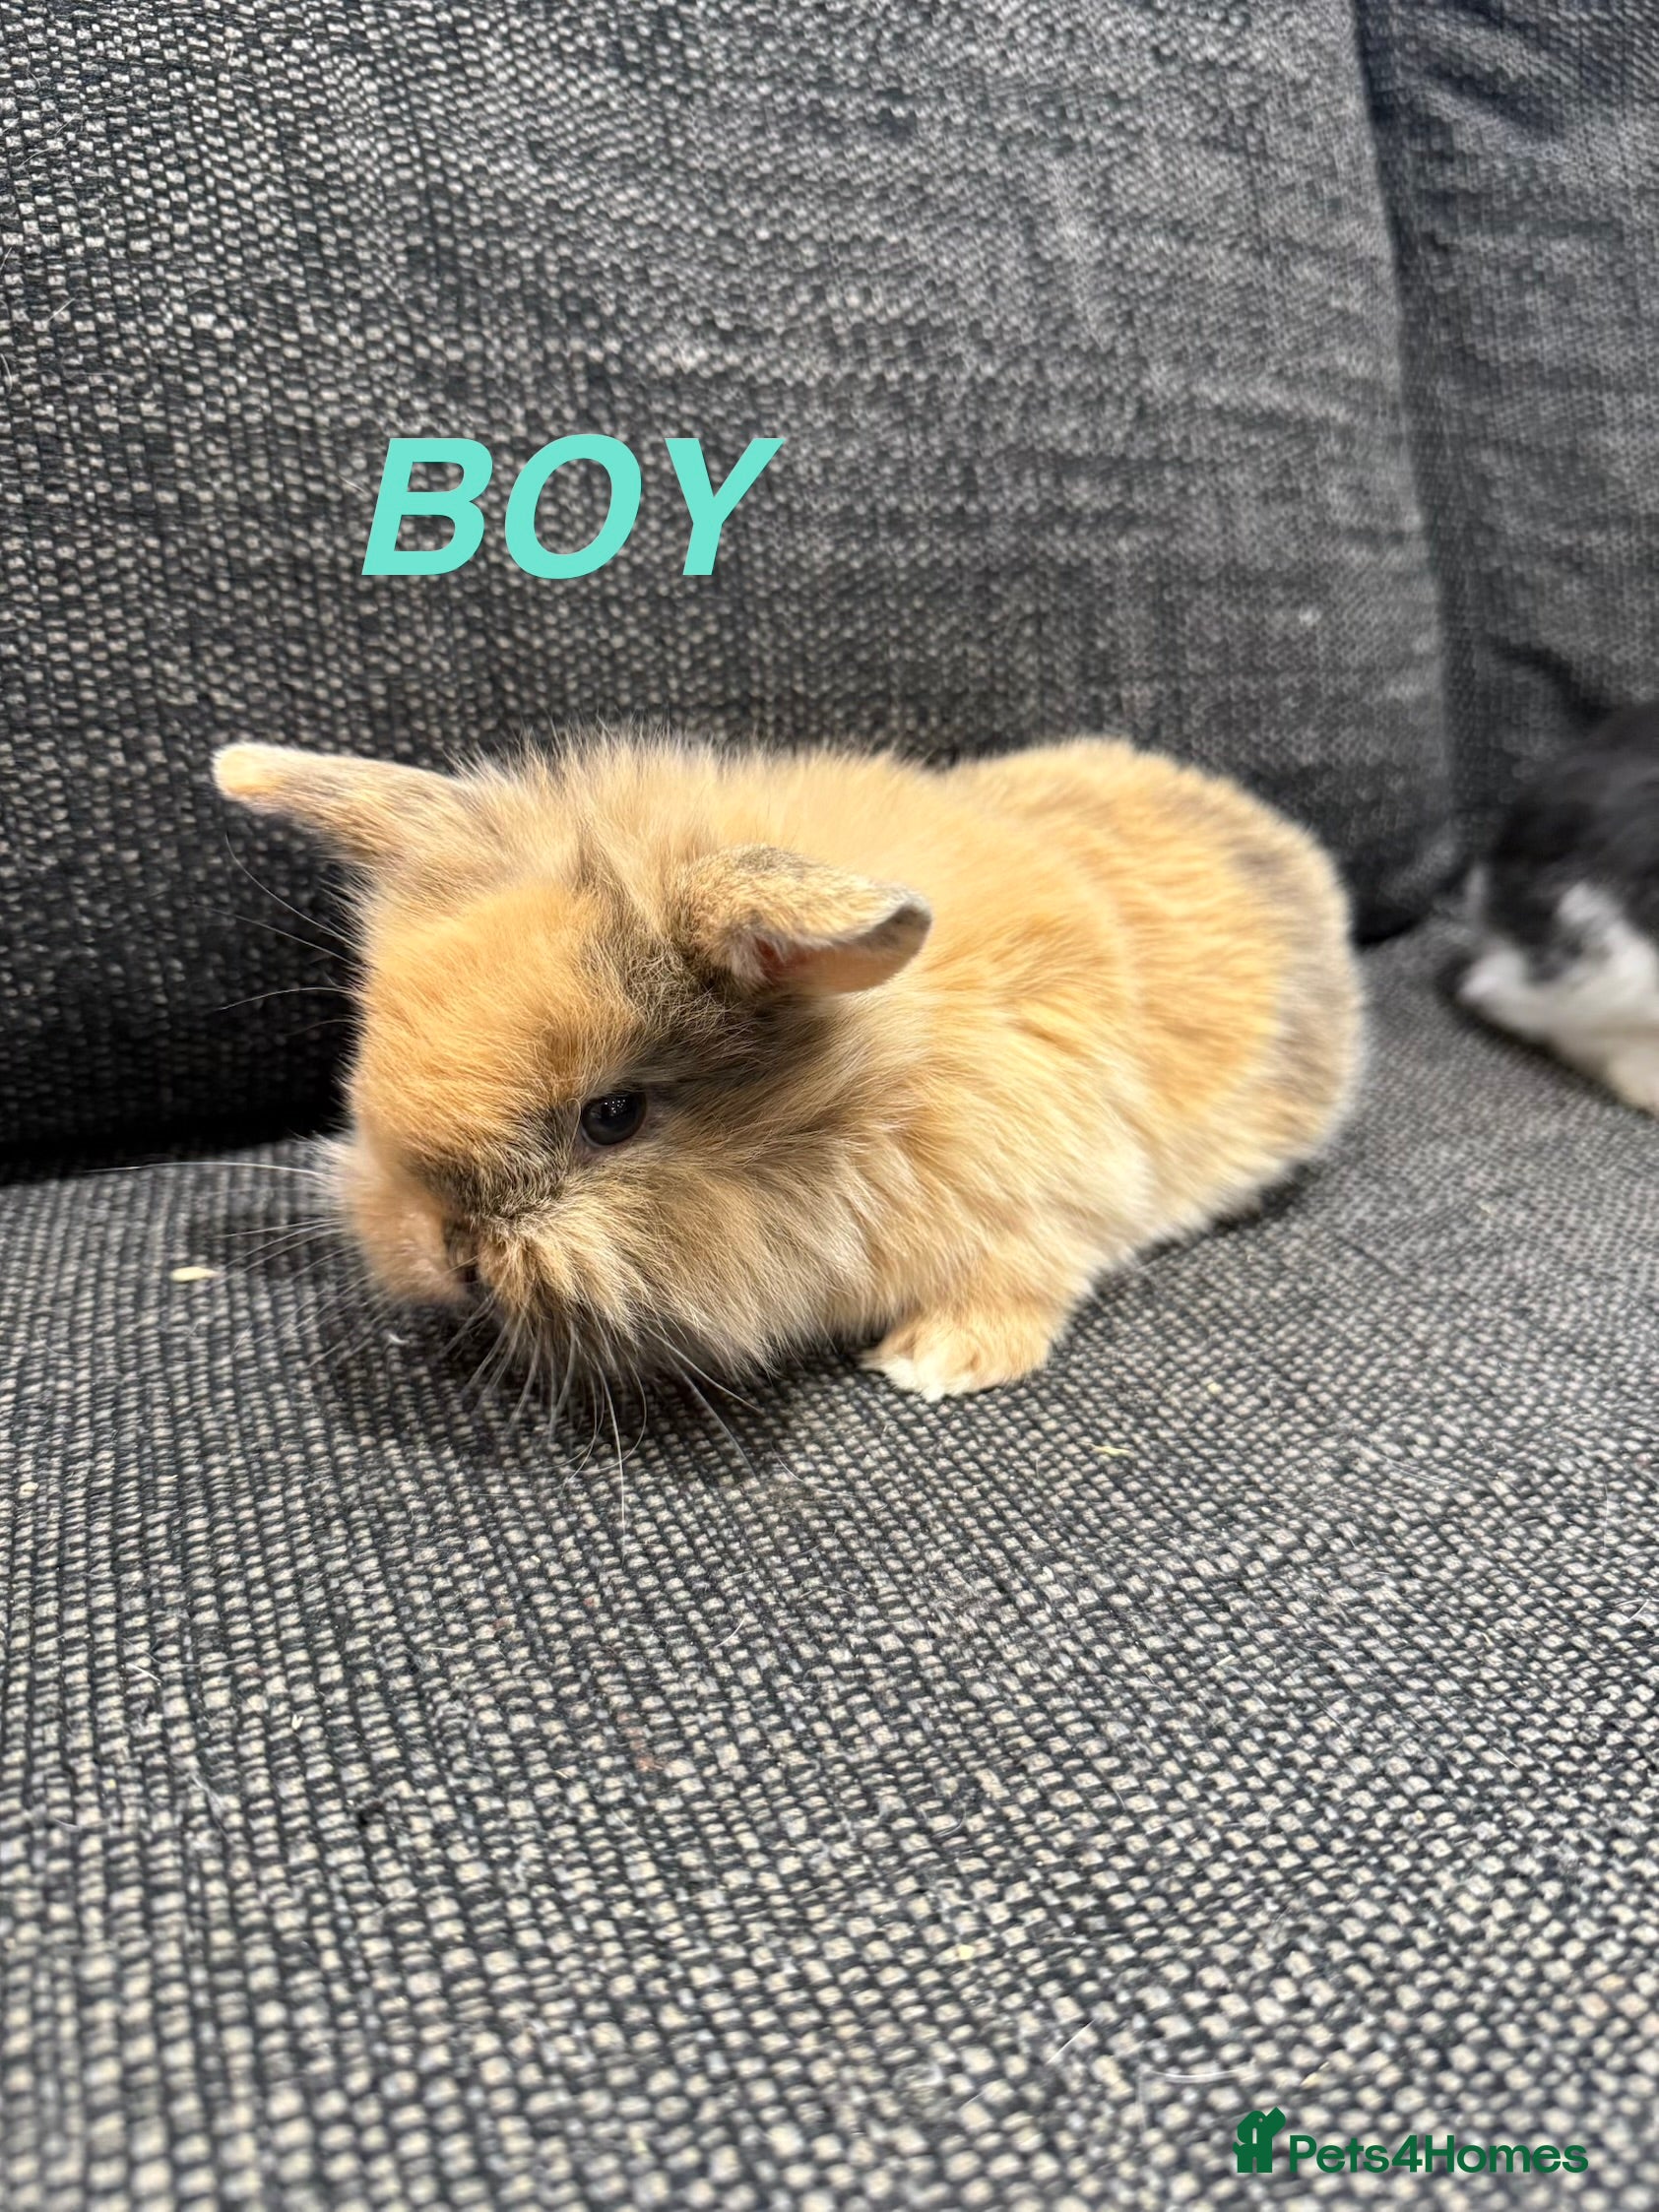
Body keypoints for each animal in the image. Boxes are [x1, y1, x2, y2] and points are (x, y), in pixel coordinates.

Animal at [213, 733, 1362, 1401]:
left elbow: (1023, 1275)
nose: (445, 1253)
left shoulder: (1053, 1202)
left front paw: (930, 1365)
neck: (873, 1092)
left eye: (614, 1115)